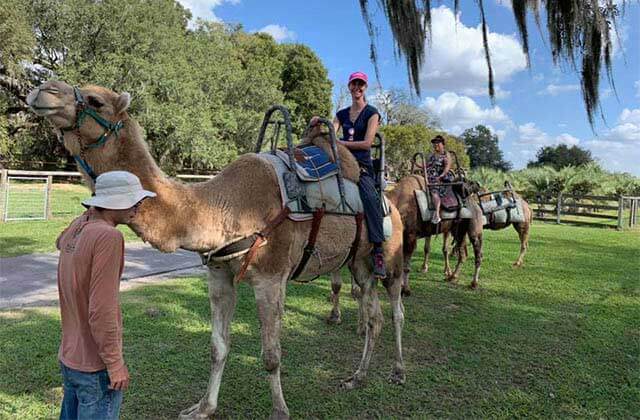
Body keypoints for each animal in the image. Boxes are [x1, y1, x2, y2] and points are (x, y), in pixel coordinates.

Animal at [28, 80, 404, 418]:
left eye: (96, 100)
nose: (43, 90)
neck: (224, 206)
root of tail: (390, 201)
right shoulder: (219, 273)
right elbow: (217, 347)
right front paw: (202, 408)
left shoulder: (271, 277)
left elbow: (271, 355)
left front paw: (280, 411)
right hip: (358, 263)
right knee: (374, 315)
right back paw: (357, 377)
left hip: (389, 255)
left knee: (395, 308)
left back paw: (397, 371)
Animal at [328, 172, 482, 324]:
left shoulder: (410, 236)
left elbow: (406, 267)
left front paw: (406, 289)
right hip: (458, 230)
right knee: (462, 253)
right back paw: (452, 276)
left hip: (473, 227)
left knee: (477, 252)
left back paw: (473, 283)